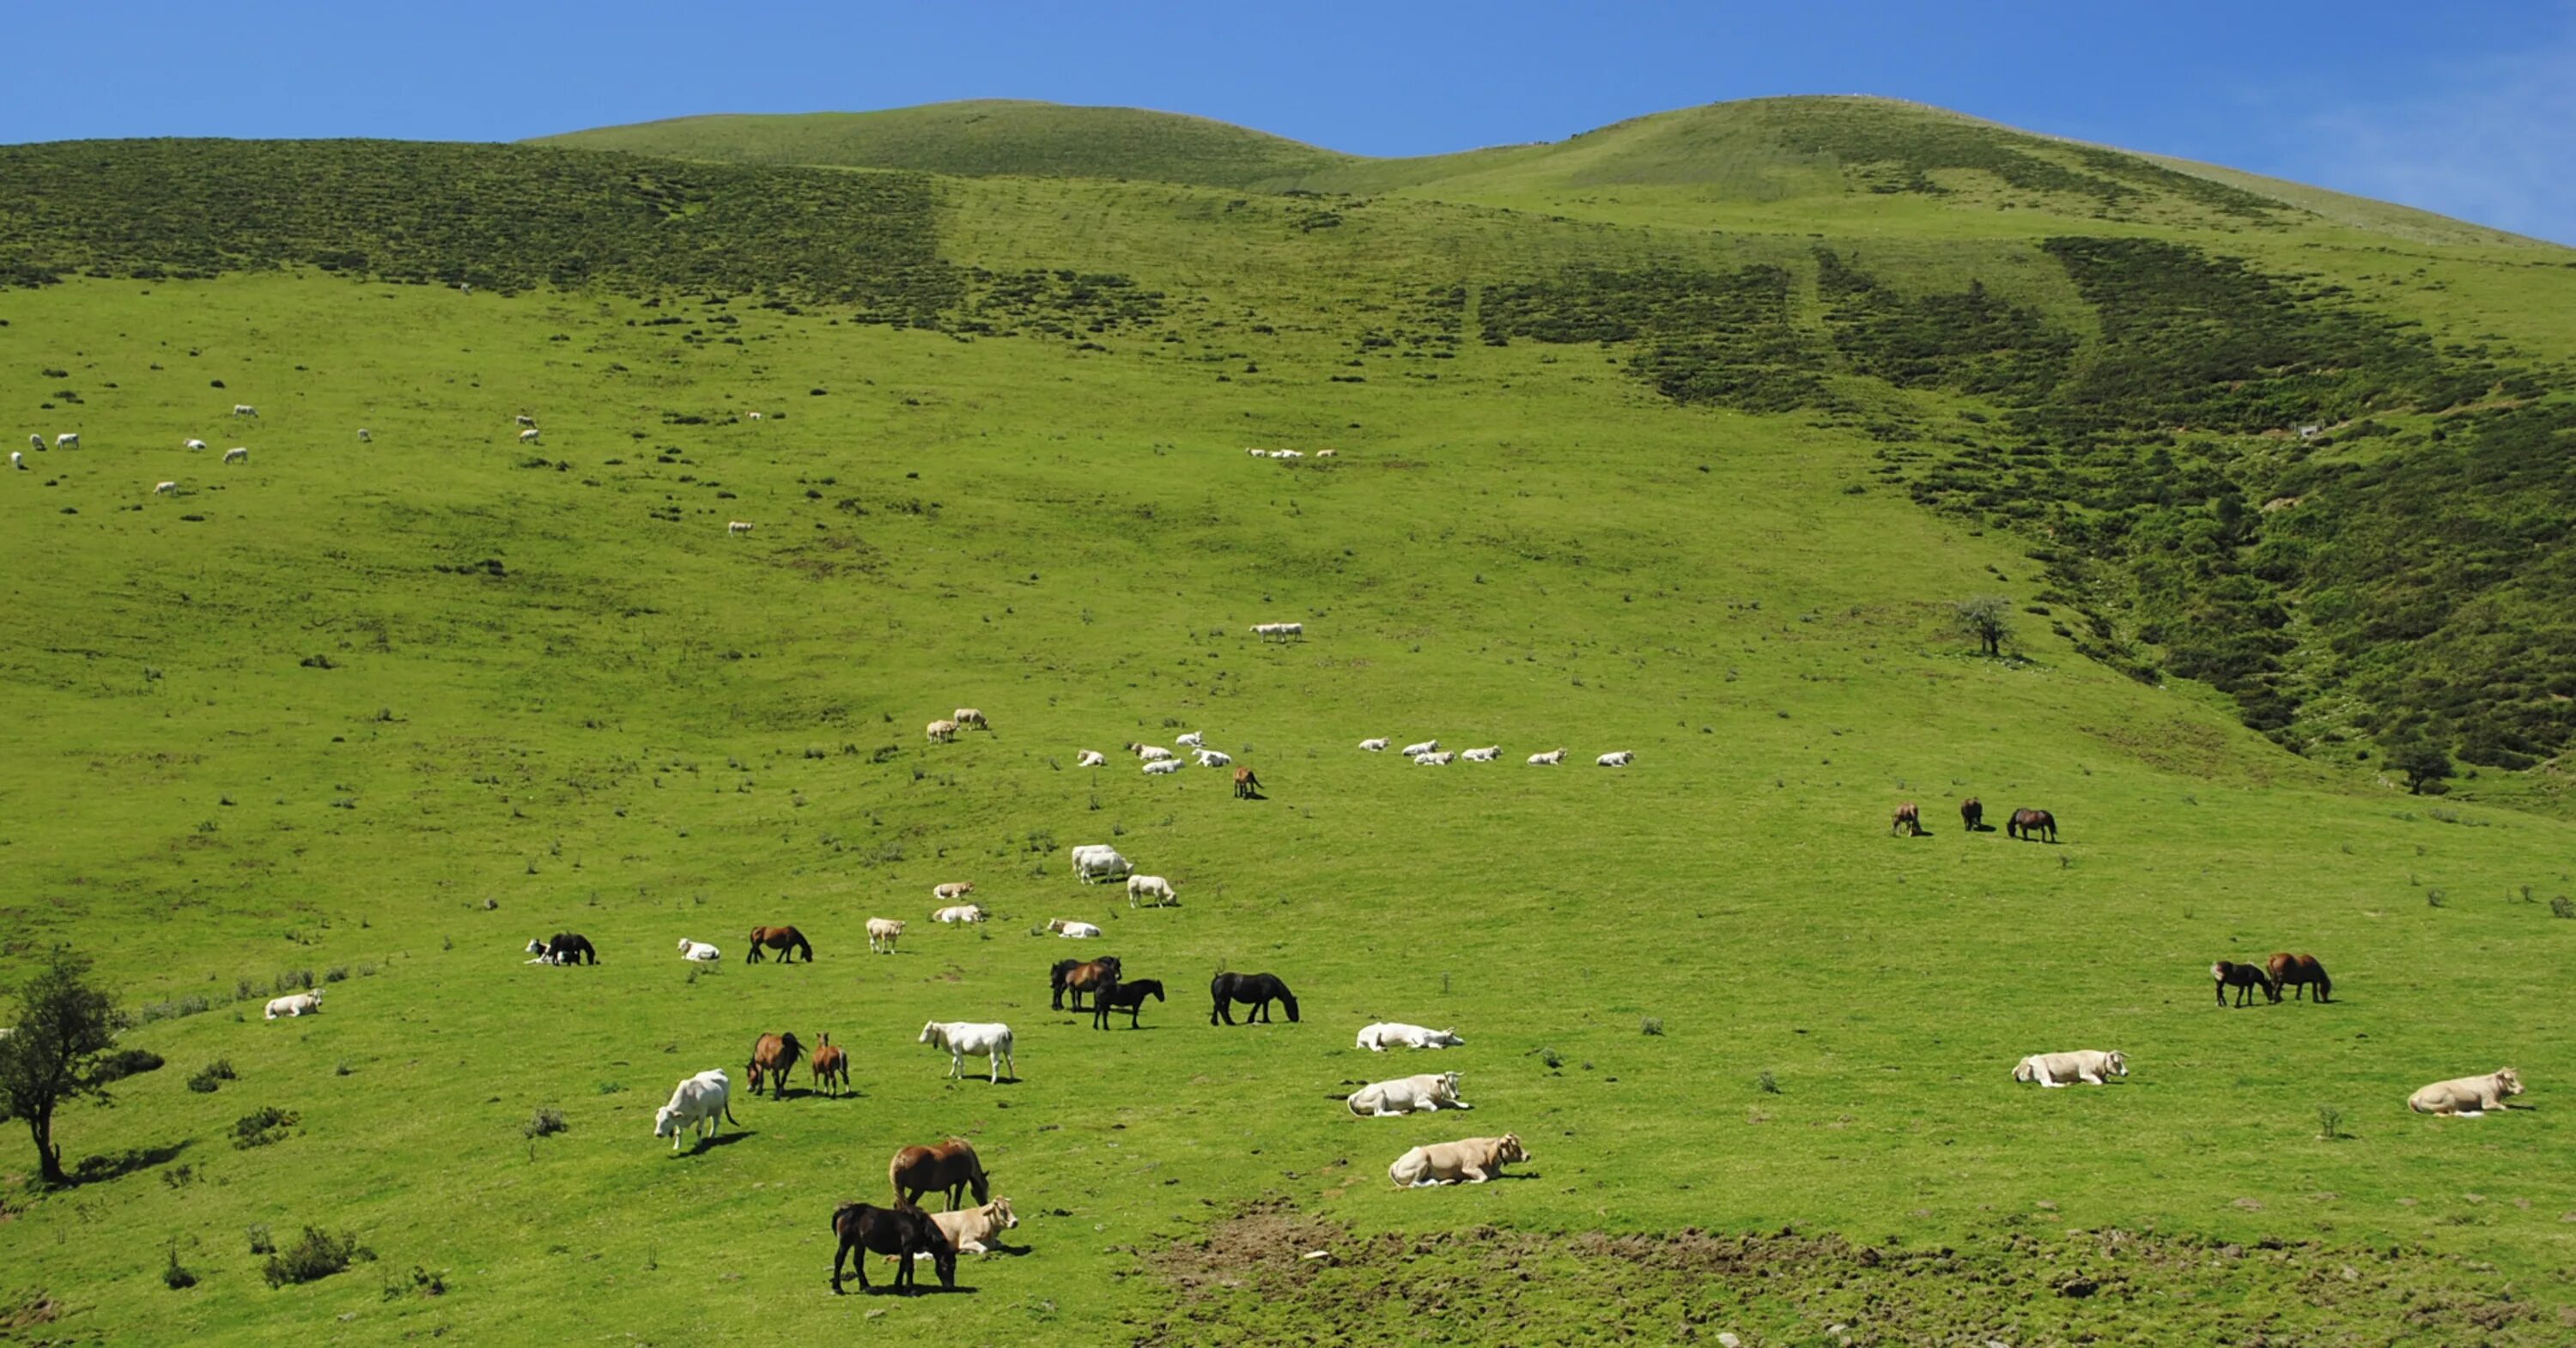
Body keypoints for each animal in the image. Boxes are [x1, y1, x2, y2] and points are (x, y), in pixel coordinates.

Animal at [824, 1200, 958, 1298]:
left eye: (954, 1266)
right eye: (946, 1266)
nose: (950, 1288)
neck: (918, 1225)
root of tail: (843, 1211)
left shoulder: (904, 1250)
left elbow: (902, 1266)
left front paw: (899, 1286)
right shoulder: (908, 1247)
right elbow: (909, 1267)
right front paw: (911, 1290)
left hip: (859, 1244)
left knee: (858, 1262)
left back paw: (866, 1287)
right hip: (845, 1243)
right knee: (839, 1261)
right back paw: (838, 1288)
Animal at [1350, 1077, 1473, 1118]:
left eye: (1457, 1083)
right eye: (1449, 1084)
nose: (1458, 1095)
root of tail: (1355, 1094)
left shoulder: (1439, 1100)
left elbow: (1452, 1102)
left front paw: (1464, 1105)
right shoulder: (1420, 1101)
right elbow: (1434, 1108)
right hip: (1379, 1095)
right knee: (1379, 1113)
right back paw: (1399, 1113)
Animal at [2009, 1051, 2133, 1092]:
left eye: (2123, 1061)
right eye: (2117, 1062)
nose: (2126, 1073)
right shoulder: (2085, 1073)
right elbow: (2099, 1082)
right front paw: (2084, 1083)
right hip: (2042, 1068)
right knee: (2047, 1084)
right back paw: (2066, 1084)